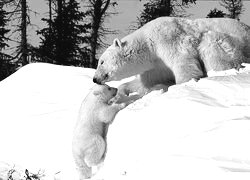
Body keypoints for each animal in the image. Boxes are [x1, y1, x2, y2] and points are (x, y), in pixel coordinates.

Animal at [93, 17, 249, 97]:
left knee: (211, 44)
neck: (148, 43)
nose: (95, 79)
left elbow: (184, 63)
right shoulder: (156, 66)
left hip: (231, 44)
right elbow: (147, 81)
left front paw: (180, 86)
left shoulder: (168, 39)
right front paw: (123, 91)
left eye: (101, 62)